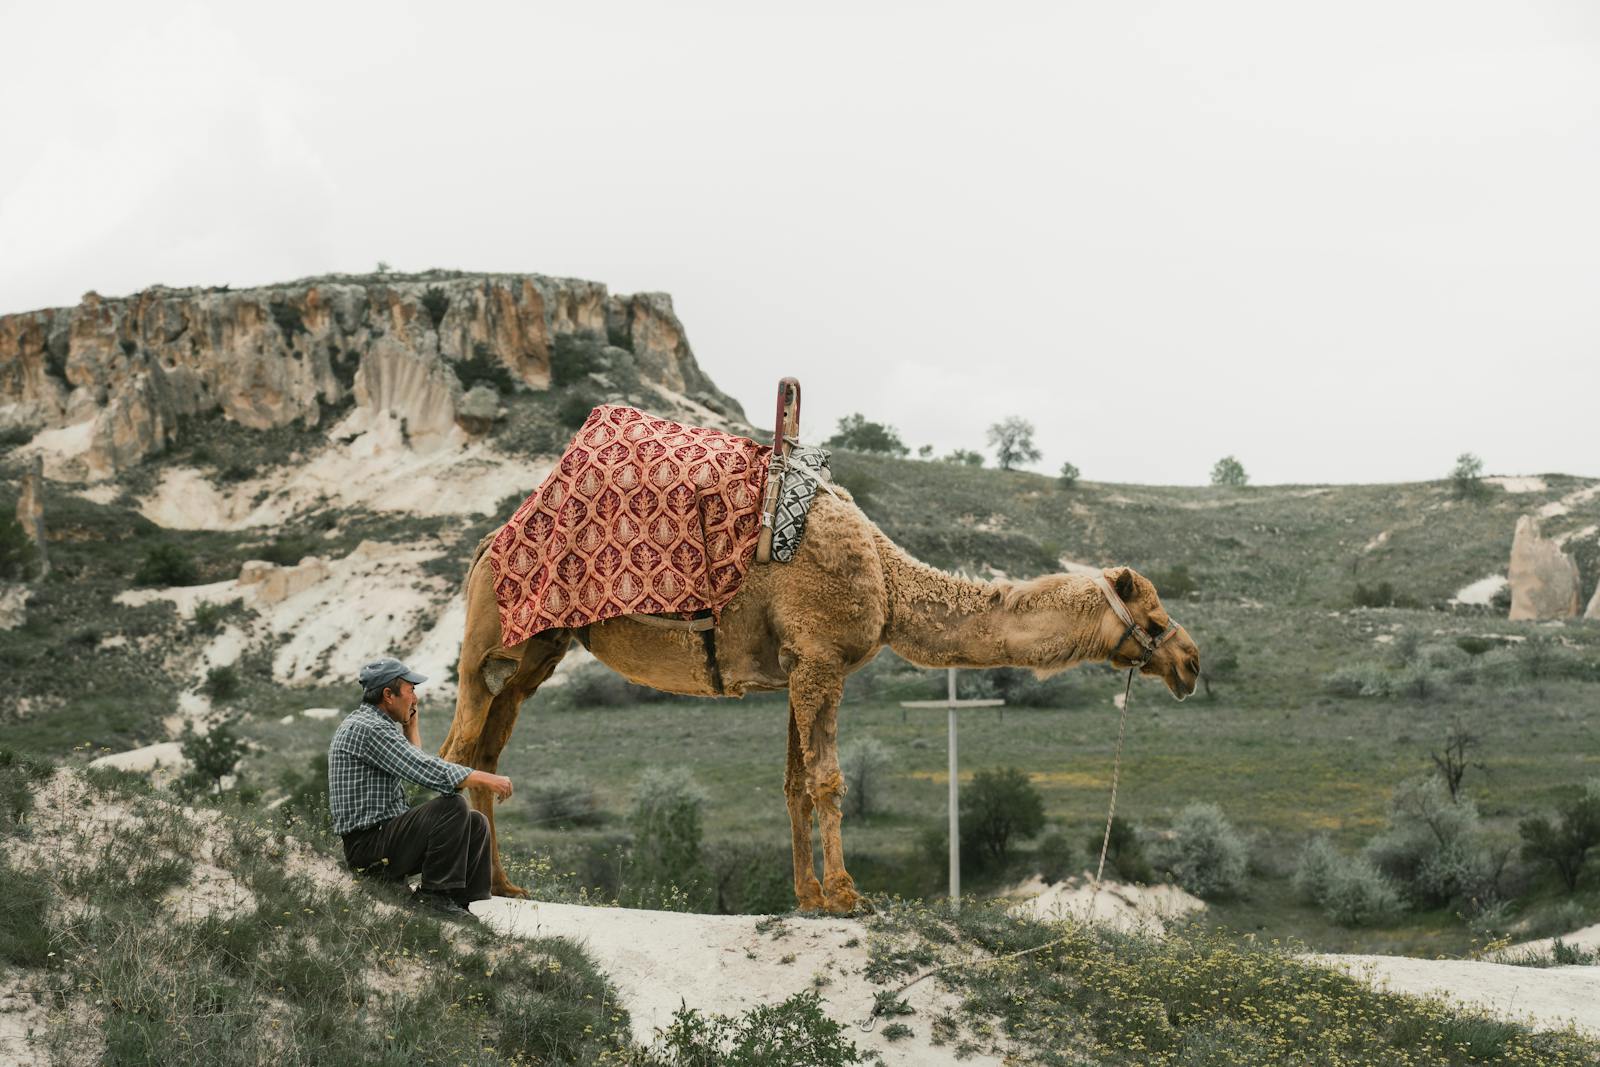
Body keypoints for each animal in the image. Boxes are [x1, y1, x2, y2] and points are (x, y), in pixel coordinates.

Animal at [441, 489, 1203, 915]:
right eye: (1155, 619)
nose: (1192, 663)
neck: (888, 578)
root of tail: (482, 546)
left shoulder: (796, 670)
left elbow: (794, 783)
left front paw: (807, 897)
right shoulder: (822, 661)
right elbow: (829, 779)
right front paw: (846, 896)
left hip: (537, 651)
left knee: (488, 752)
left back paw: (504, 886)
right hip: (487, 642)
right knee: (458, 745)